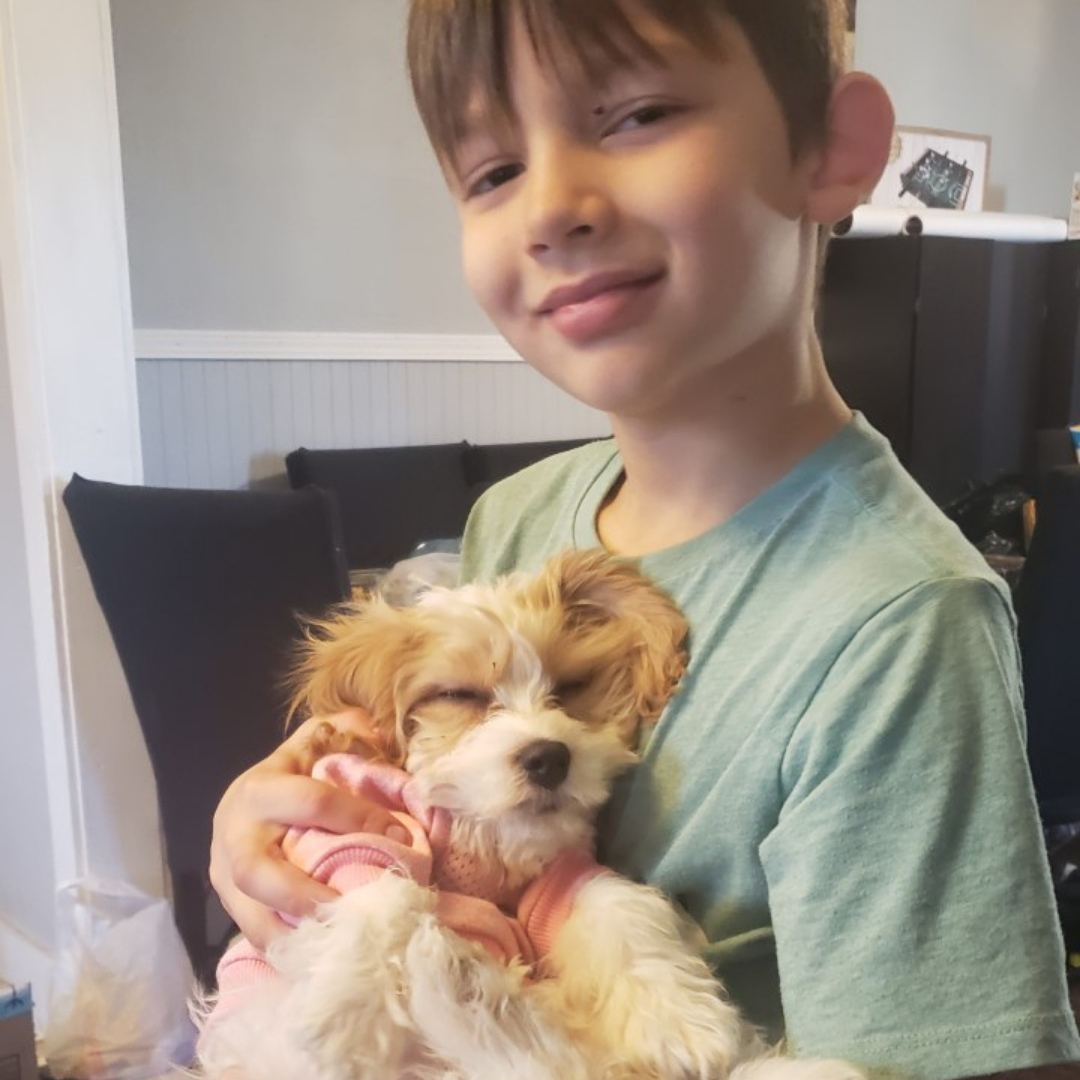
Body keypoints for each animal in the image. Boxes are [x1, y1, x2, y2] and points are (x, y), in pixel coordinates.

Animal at [198, 548, 864, 1080]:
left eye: (570, 687)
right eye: (460, 695)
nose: (549, 757)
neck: (481, 834)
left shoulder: (558, 872)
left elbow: (614, 901)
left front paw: (678, 1015)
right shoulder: (346, 817)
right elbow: (380, 882)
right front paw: (345, 1011)